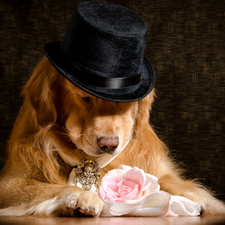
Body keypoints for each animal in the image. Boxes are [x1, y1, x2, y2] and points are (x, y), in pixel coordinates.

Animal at [0, 55, 224, 216]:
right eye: (85, 98)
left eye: (125, 103)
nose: (108, 145)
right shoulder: (9, 182)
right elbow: (50, 187)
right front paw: (82, 197)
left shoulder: (158, 167)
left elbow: (167, 179)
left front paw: (190, 192)